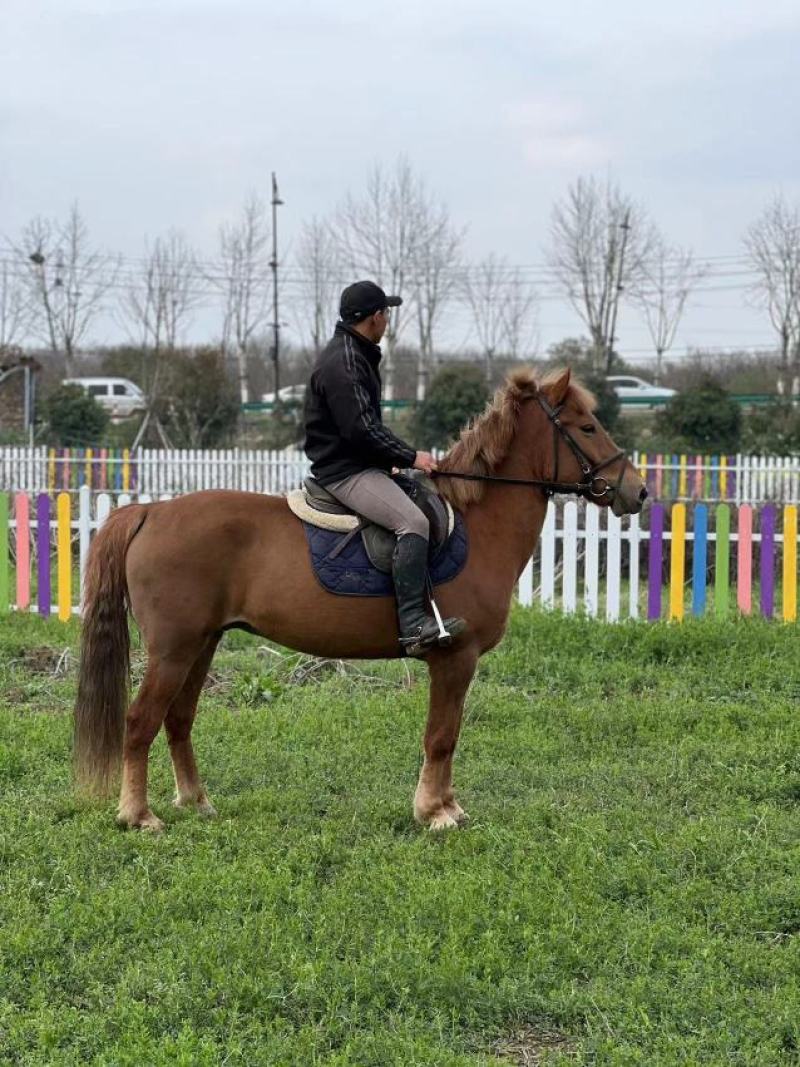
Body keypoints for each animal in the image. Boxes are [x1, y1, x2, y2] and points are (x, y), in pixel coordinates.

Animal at [73, 367, 647, 832]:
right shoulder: (454, 658)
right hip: (173, 649)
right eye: (586, 427)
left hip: (202, 644)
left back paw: (195, 802)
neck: (477, 522)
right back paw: (137, 815)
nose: (637, 492)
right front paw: (435, 813)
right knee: (140, 722)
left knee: (178, 719)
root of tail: (150, 511)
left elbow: (450, 734)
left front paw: (447, 806)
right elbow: (441, 736)